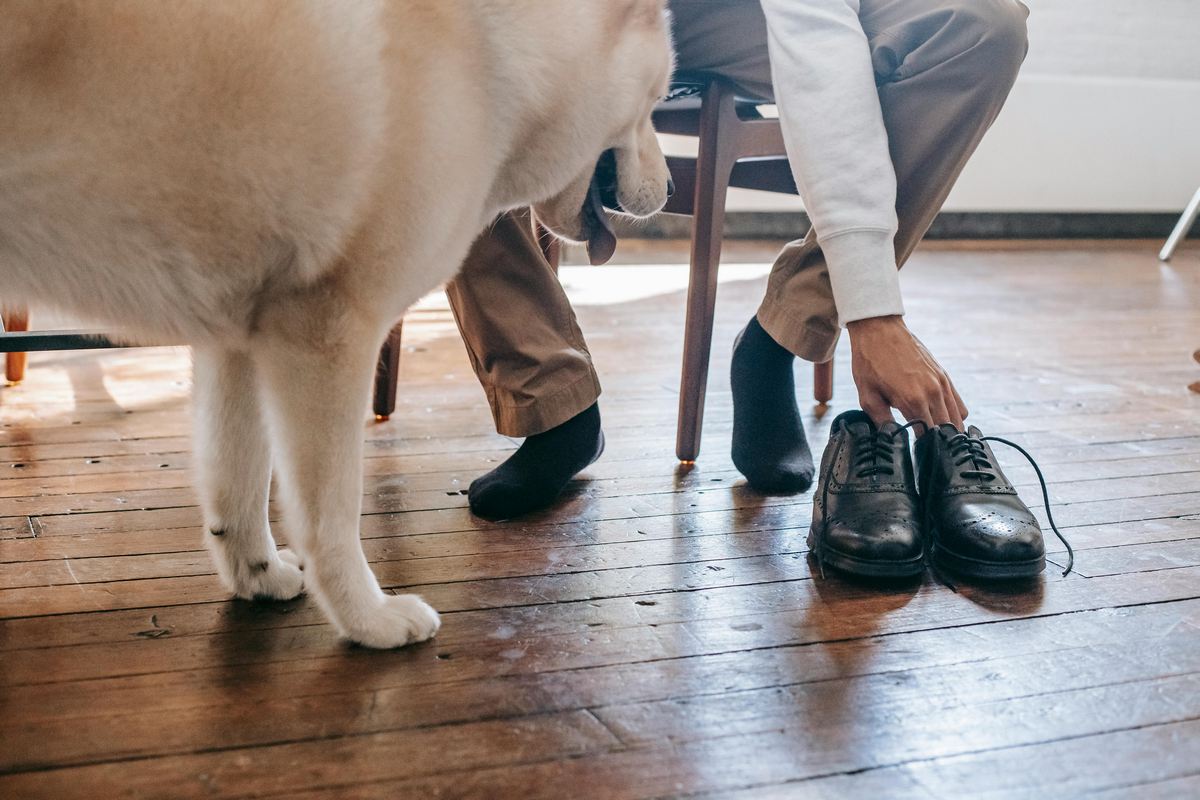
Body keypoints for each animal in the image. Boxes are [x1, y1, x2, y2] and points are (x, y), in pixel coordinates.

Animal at [2, 0, 676, 647]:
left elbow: (237, 475)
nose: (672, 188)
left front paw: (257, 574)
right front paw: (368, 620)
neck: (487, 54)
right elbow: (331, 514)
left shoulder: (239, 338)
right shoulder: (326, 336)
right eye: (656, 104)